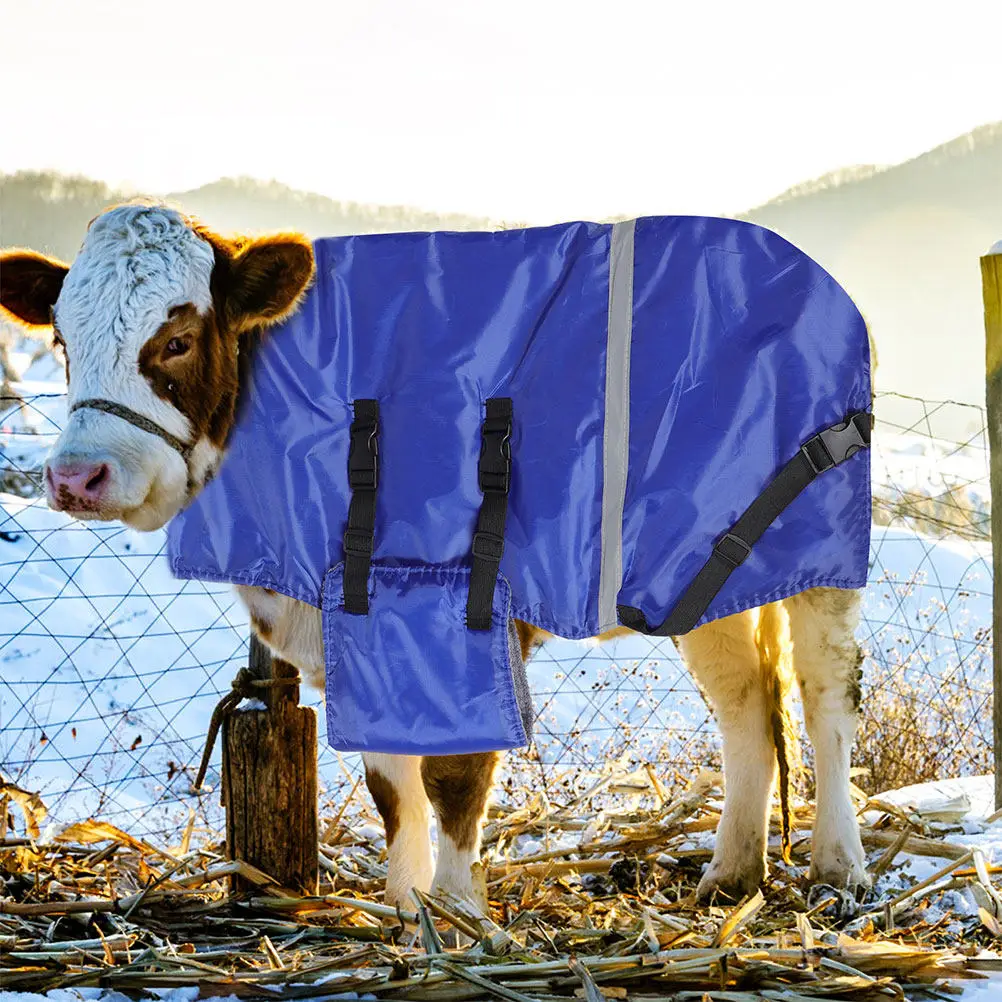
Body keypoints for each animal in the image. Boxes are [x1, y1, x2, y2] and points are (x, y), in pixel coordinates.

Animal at [0, 202, 869, 907]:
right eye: (63, 340)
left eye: (178, 340)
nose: (75, 477)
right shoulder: (353, 621)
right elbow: (392, 785)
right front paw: (406, 908)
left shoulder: (466, 608)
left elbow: (454, 775)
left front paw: (456, 916)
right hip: (698, 571)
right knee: (746, 700)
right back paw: (733, 872)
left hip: (822, 552)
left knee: (824, 695)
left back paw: (840, 865)